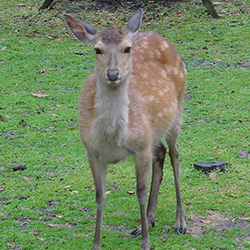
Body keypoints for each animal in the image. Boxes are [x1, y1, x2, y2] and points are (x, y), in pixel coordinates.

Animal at [64, 9, 188, 250]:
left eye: (127, 48)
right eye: (97, 49)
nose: (113, 74)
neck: (113, 138)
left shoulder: (141, 148)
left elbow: (140, 192)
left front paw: (146, 244)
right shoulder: (92, 151)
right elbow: (100, 196)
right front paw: (96, 244)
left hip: (176, 113)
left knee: (175, 155)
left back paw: (180, 222)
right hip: (154, 132)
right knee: (161, 153)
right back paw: (148, 220)